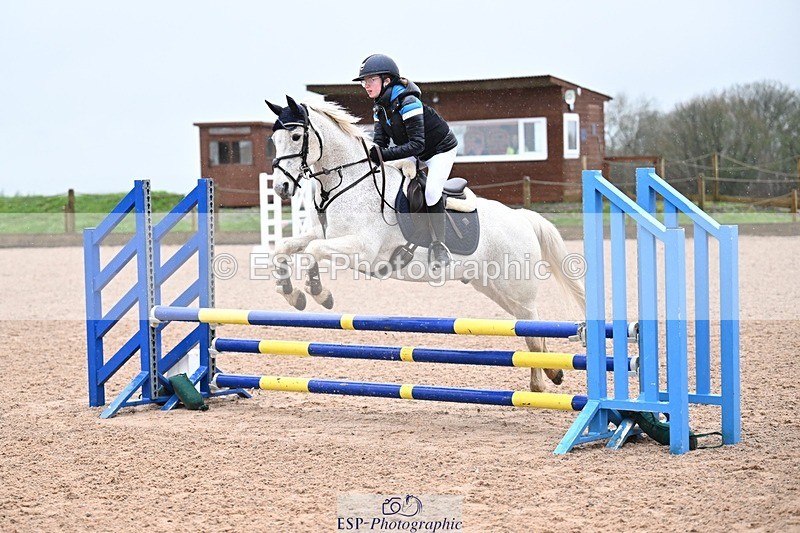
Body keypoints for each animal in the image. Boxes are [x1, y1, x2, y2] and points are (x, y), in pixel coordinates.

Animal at [264, 96, 585, 393]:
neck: (351, 183)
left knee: (534, 330)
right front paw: (292, 294)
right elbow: (284, 248)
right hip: (494, 288)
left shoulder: (361, 249)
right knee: (529, 329)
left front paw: (320, 293)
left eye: (296, 137)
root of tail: (522, 218)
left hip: (517, 288)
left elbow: (312, 252)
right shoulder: (324, 235)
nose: (281, 187)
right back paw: (549, 377)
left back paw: (544, 380)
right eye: (274, 140)